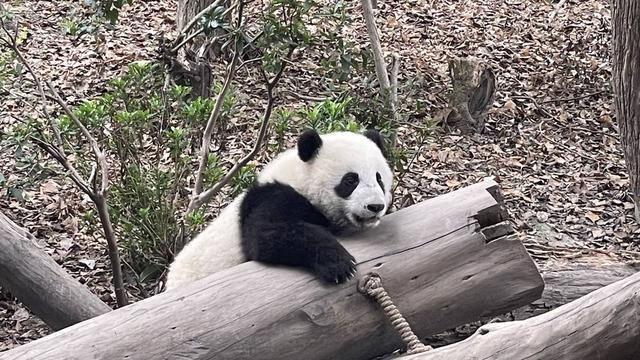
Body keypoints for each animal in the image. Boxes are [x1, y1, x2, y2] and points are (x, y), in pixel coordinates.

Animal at [165, 129, 392, 290]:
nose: (375, 206)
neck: (300, 177)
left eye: (379, 178)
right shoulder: (272, 197)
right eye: (351, 180)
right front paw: (340, 265)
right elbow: (268, 235)